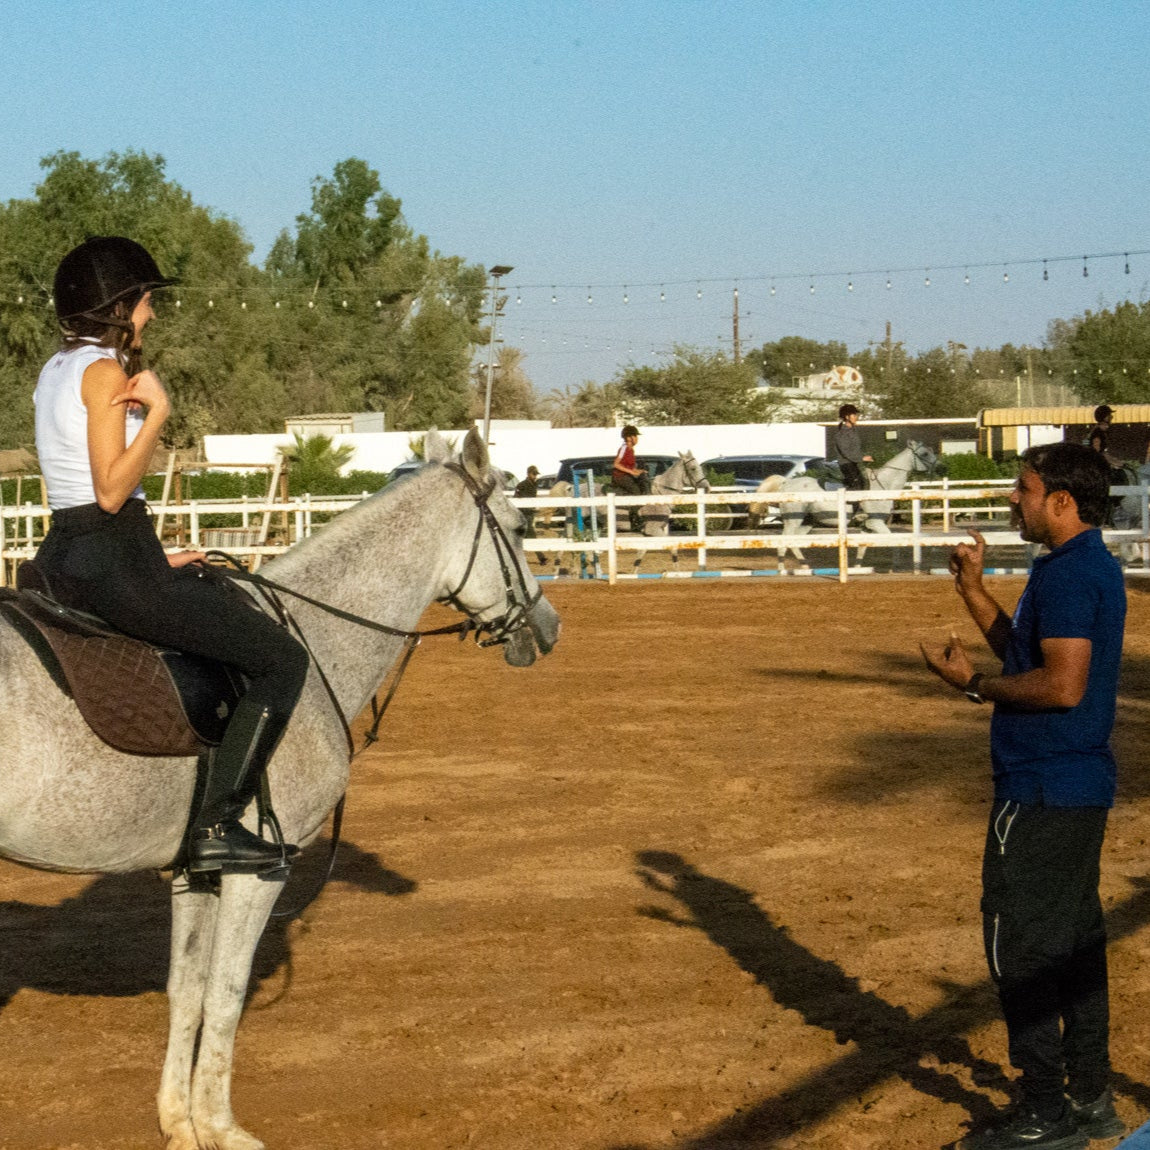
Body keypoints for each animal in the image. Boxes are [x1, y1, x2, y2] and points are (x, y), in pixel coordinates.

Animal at [0, 427, 561, 1145]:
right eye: (517, 527)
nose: (548, 626)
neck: (315, 635)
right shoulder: (258, 870)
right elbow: (226, 995)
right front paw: (221, 1125)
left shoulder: (197, 871)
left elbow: (188, 989)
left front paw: (180, 1122)